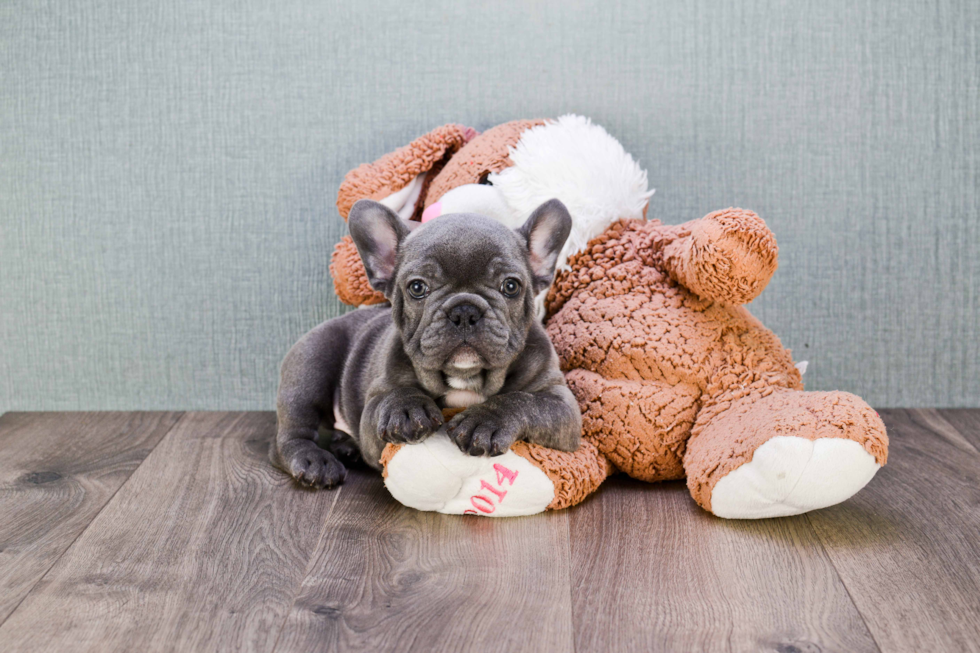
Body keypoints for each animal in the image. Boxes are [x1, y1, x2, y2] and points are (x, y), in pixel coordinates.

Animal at [270, 196, 580, 486]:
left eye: (511, 286)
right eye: (417, 287)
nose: (464, 311)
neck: (465, 379)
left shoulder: (562, 406)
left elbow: (522, 400)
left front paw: (486, 419)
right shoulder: (374, 409)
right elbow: (390, 397)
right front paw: (407, 408)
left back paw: (346, 447)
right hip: (311, 364)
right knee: (289, 436)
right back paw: (315, 462)